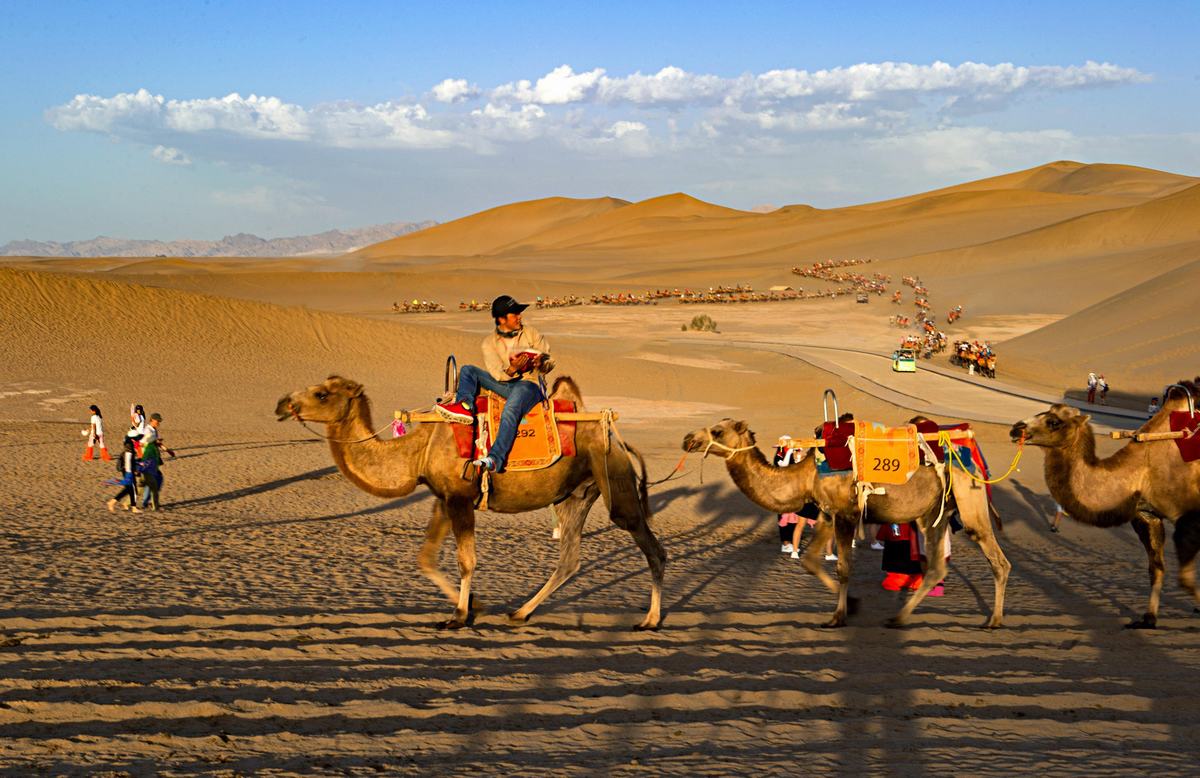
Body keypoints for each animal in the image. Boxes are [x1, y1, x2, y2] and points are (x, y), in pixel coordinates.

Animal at [274, 374, 667, 629]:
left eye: (322, 394)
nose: (282, 403)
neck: (417, 451)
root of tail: (617, 439)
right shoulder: (443, 498)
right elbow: (426, 558)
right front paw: (476, 603)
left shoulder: (460, 498)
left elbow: (466, 561)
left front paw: (459, 616)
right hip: (576, 494)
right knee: (569, 559)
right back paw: (520, 613)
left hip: (614, 481)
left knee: (651, 546)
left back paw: (649, 621)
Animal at [681, 420, 1008, 624]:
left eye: (717, 431)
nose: (688, 439)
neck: (805, 475)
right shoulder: (828, 513)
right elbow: (810, 561)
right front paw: (852, 604)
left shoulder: (847, 513)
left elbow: (843, 568)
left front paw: (838, 617)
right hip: (934, 512)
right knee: (937, 566)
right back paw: (899, 618)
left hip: (969, 497)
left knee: (996, 559)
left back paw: (993, 620)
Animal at [1012, 381, 1200, 624]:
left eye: (1054, 422)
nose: (1016, 428)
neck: (1142, 468)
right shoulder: (1147, 516)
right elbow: (1156, 568)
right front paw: (1148, 618)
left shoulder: (1189, 517)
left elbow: (1185, 579)